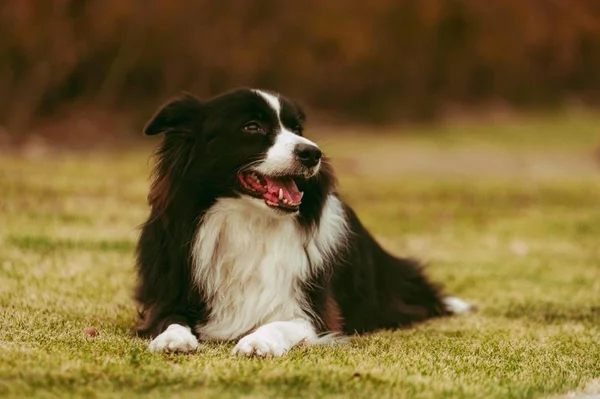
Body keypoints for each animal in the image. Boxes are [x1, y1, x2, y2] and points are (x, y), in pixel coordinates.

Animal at [132, 87, 474, 356]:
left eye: (297, 128)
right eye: (252, 126)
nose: (313, 153)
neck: (249, 221)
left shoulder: (314, 312)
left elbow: (281, 323)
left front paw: (257, 342)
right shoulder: (169, 293)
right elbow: (169, 319)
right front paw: (173, 339)